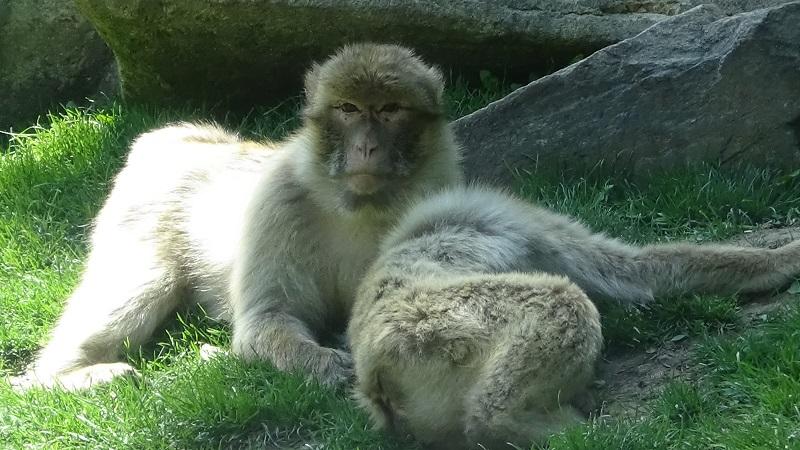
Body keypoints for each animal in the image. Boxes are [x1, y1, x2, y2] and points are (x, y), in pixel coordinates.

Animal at [350, 185, 800, 448]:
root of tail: (375, 376)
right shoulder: (529, 227)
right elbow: (636, 270)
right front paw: (782, 259)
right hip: (435, 325)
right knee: (562, 300)